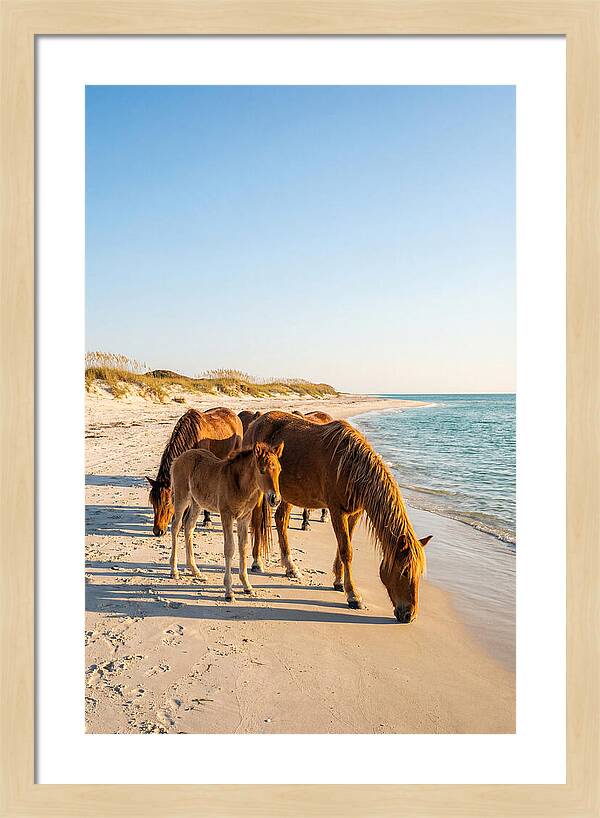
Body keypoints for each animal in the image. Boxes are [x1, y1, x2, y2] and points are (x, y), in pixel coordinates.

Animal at [146, 407, 243, 536]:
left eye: (167, 502)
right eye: (153, 502)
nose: (158, 531)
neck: (192, 437)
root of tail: (233, 415)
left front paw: (206, 520)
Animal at [169, 442, 284, 600]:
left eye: (279, 470)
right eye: (262, 471)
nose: (275, 499)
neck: (241, 485)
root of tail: (179, 458)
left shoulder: (244, 517)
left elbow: (243, 547)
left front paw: (247, 586)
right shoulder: (226, 515)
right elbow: (230, 548)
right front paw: (229, 591)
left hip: (197, 502)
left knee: (188, 527)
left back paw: (195, 570)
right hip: (181, 497)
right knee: (176, 526)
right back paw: (174, 571)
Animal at [245, 411, 432, 622]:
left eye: (419, 573)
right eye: (405, 571)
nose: (410, 615)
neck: (351, 466)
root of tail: (256, 421)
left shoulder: (354, 513)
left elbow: (343, 546)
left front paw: (339, 582)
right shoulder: (336, 511)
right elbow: (346, 551)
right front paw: (353, 596)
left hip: (288, 494)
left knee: (281, 520)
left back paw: (291, 567)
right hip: (261, 491)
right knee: (258, 520)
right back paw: (257, 562)